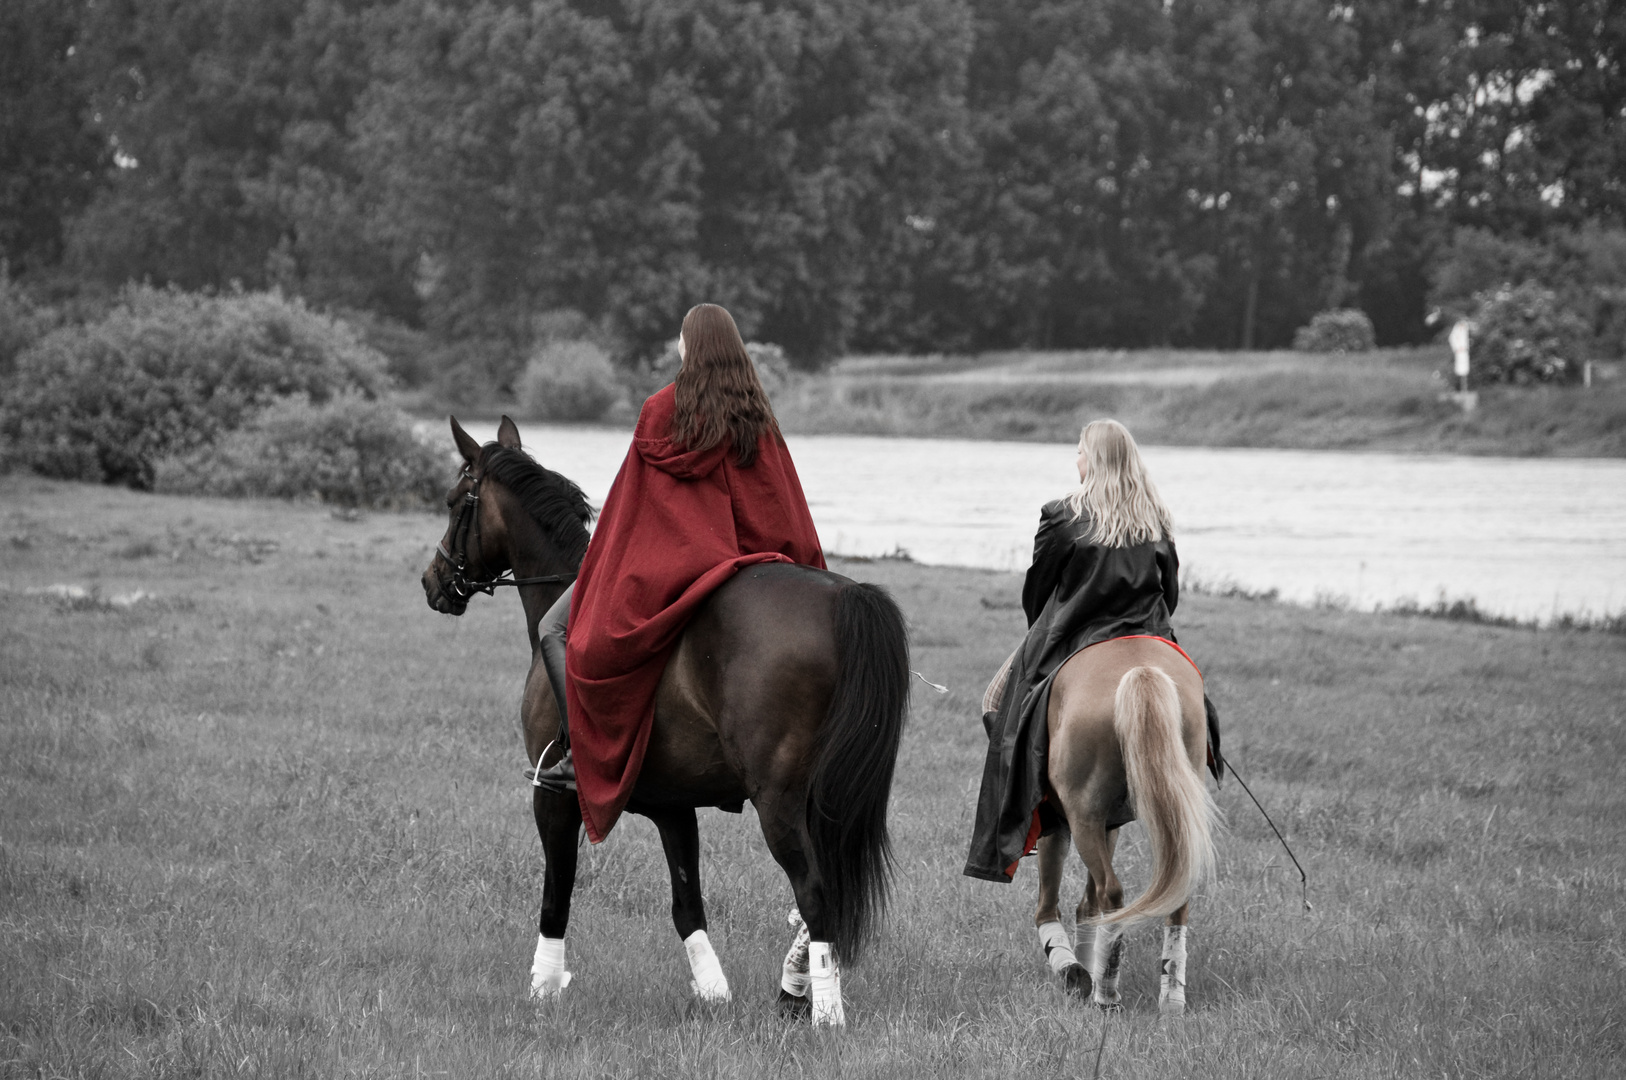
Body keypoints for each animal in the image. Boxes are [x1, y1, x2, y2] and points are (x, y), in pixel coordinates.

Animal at [419, 416, 910, 1027]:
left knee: (816, 893)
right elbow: (686, 904)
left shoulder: (552, 798)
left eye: (453, 500)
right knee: (826, 896)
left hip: (779, 801)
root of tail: (844, 596)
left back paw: (823, 1012)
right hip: (825, 801)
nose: (433, 581)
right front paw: (714, 992)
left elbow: (557, 892)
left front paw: (543, 988)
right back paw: (795, 989)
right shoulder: (674, 809)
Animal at [1034, 634, 1216, 1014]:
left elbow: (1050, 905)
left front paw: (1074, 971)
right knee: (1172, 899)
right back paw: (1171, 999)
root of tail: (1140, 670)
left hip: (1082, 817)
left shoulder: (1058, 819)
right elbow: (1086, 905)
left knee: (1109, 892)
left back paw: (1105, 993)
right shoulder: (1109, 824)